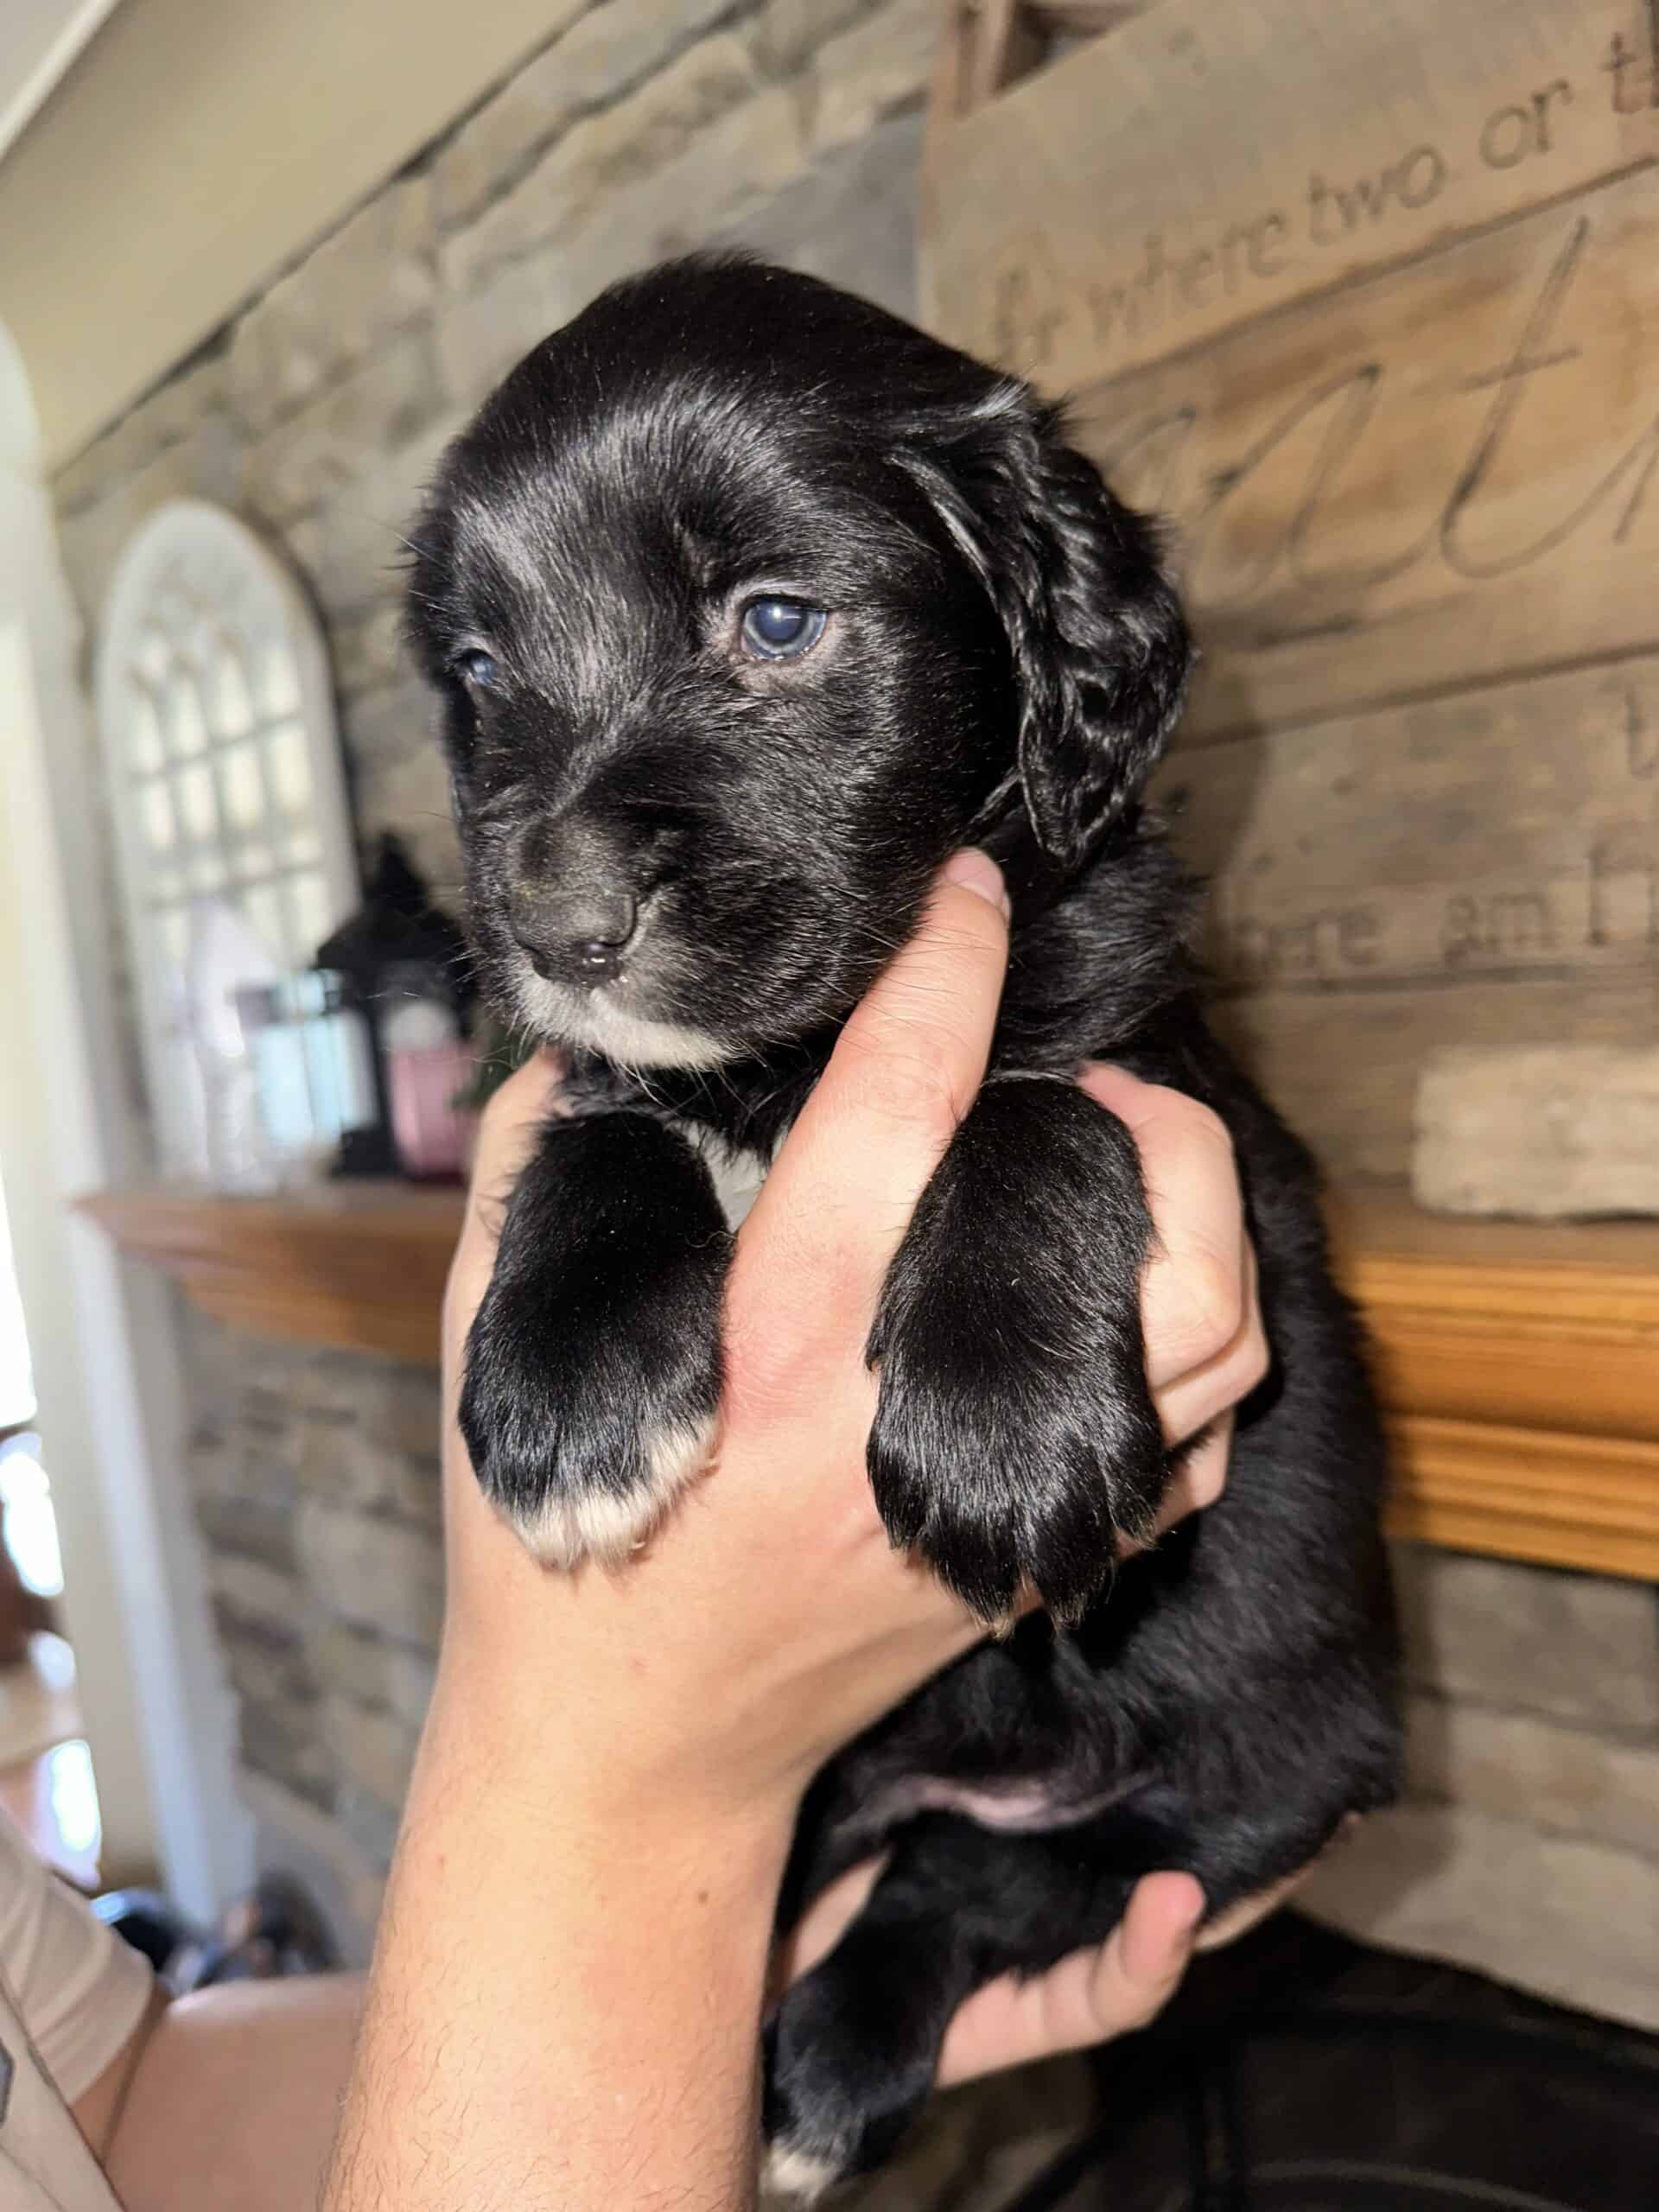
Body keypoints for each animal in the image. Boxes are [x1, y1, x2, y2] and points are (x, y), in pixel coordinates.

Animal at [407, 258, 1407, 2194]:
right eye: (481, 670)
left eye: (779, 621)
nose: (549, 925)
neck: (790, 1073)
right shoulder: (622, 1086)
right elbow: (603, 1134)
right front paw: (567, 1389)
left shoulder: (1165, 1078)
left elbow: (1032, 1108)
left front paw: (1002, 1433)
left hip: (1264, 1775)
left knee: (982, 1874)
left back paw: (826, 2068)